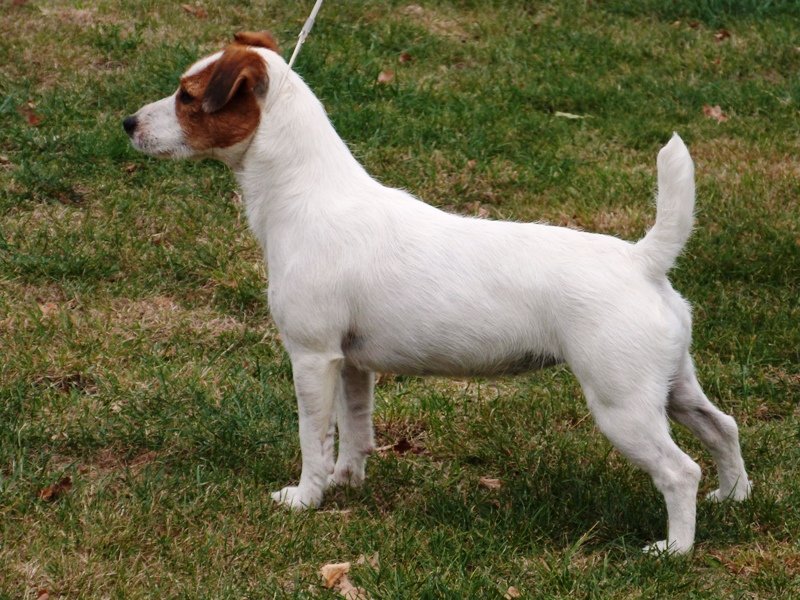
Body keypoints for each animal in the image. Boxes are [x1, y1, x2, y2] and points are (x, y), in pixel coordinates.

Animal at [124, 31, 751, 555]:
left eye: (187, 96)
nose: (127, 122)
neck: (306, 194)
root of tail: (642, 260)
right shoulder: (352, 364)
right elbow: (355, 431)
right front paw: (347, 484)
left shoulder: (312, 357)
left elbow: (313, 438)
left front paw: (305, 498)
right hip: (670, 385)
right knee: (722, 427)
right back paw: (735, 498)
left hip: (622, 405)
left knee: (679, 471)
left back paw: (673, 550)